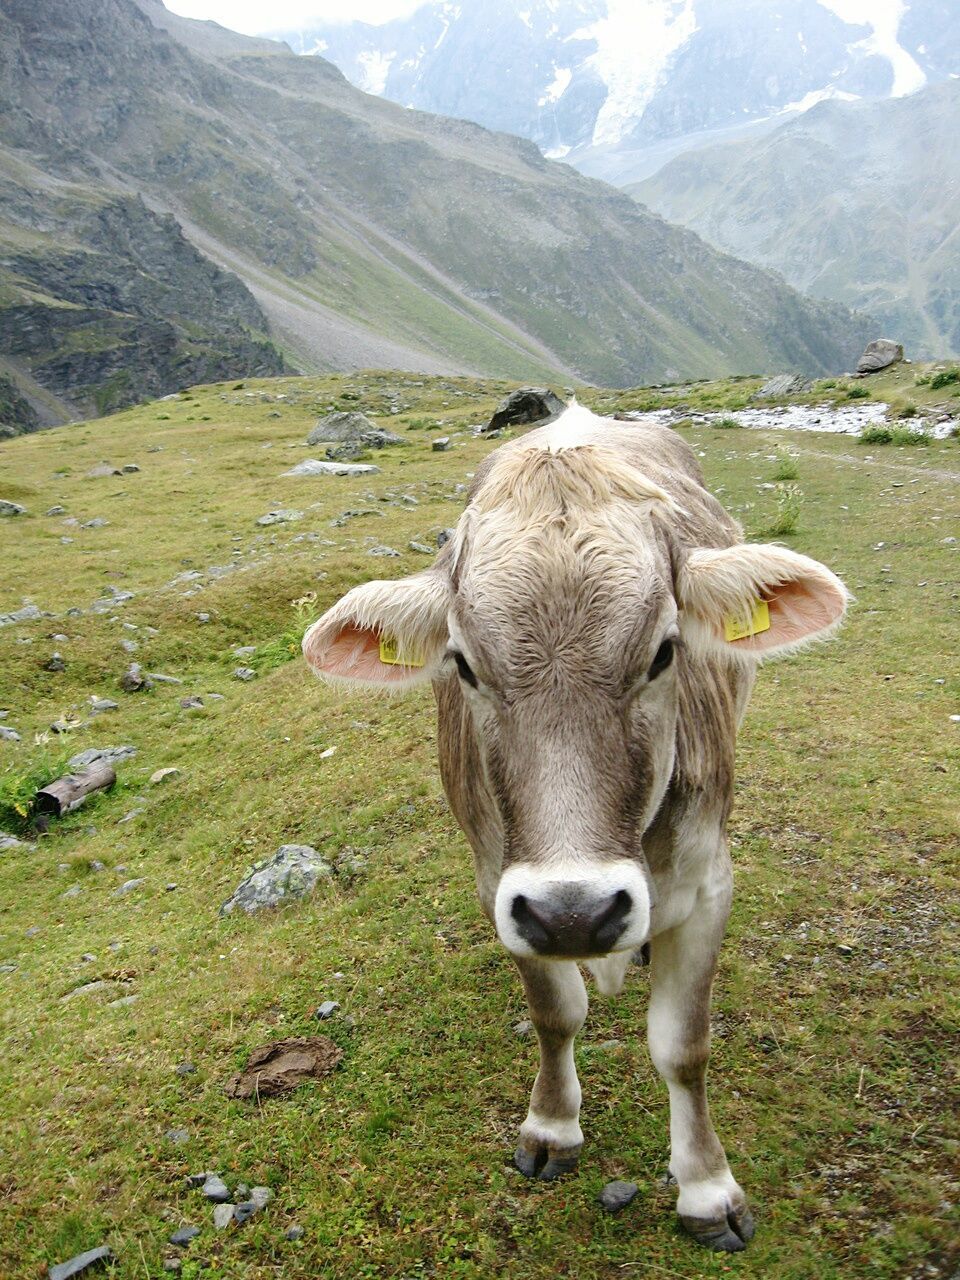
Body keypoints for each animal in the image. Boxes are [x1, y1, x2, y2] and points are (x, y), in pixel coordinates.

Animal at [302, 404, 849, 1254]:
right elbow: (555, 1014)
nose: (576, 913)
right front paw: (552, 1127)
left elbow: (683, 1045)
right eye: (463, 664)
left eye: (663, 652)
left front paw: (707, 1187)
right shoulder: (500, 884)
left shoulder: (709, 881)